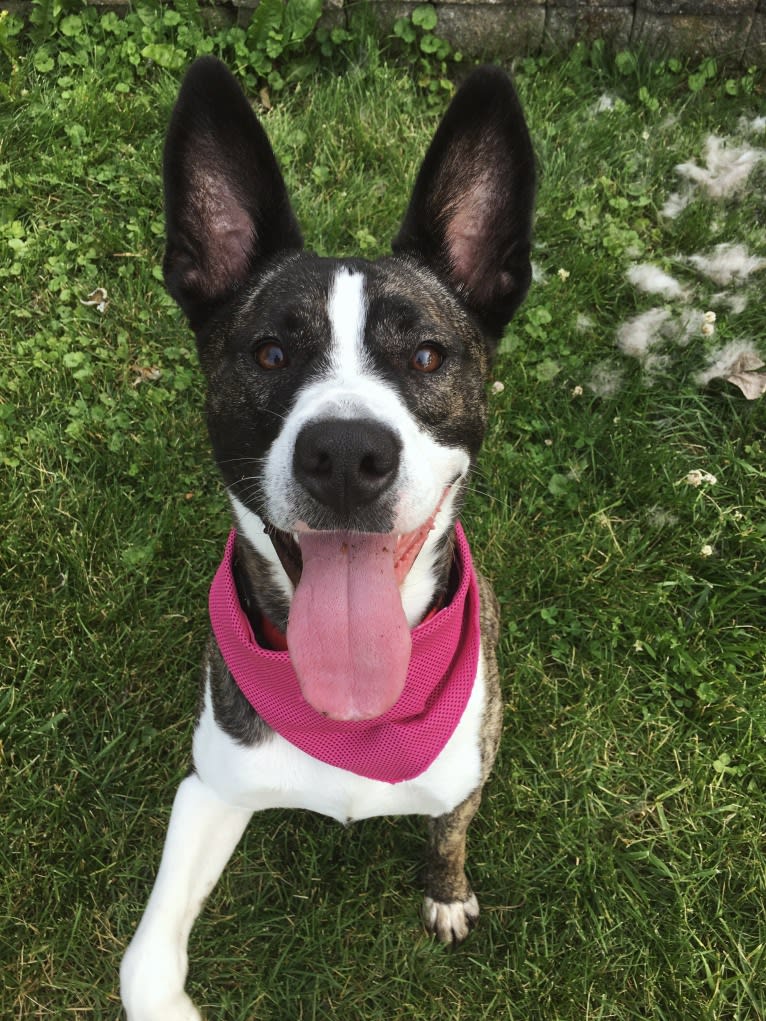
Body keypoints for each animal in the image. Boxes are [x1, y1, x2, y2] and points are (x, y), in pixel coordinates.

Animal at [121, 57, 535, 1021]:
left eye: (427, 356)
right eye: (271, 353)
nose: (346, 453)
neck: (360, 716)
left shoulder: (465, 771)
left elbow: (449, 832)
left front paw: (447, 892)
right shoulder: (209, 788)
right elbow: (142, 962)